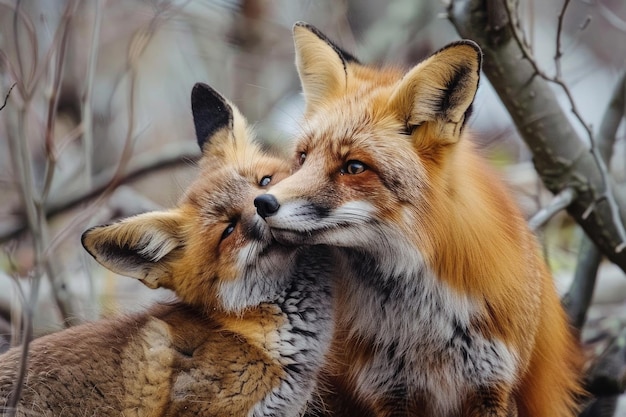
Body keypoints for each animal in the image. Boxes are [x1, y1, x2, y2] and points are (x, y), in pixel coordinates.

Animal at [252, 22, 580, 416]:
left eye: (354, 167)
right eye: (302, 157)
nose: (262, 203)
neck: (424, 323)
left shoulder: (494, 386)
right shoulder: (388, 389)